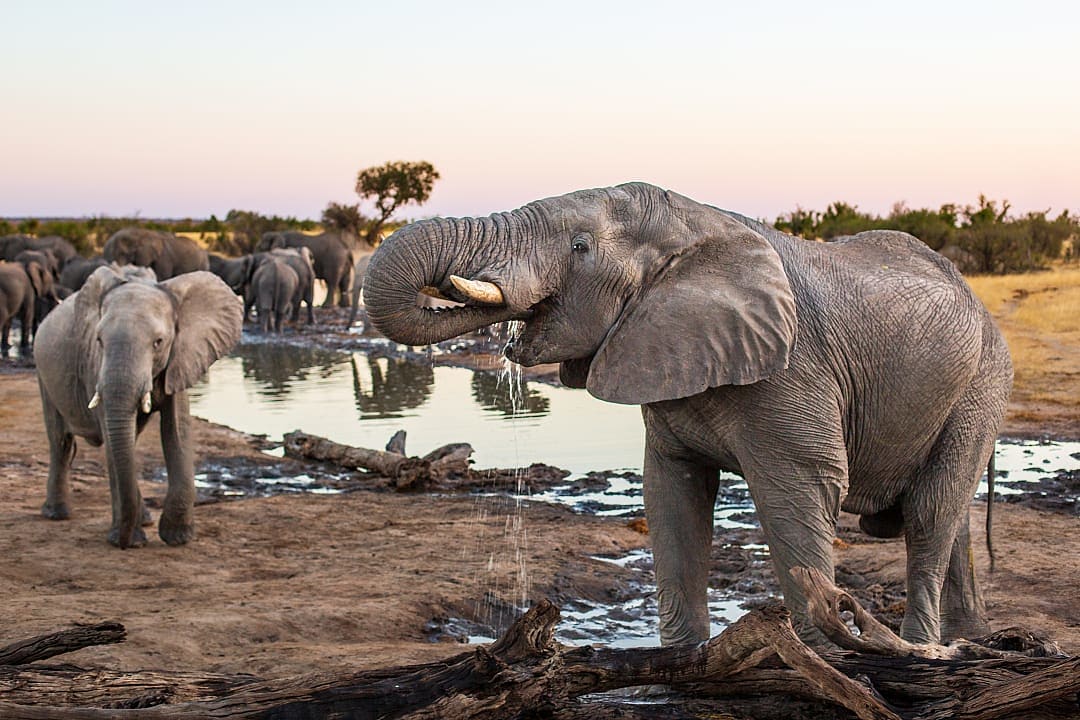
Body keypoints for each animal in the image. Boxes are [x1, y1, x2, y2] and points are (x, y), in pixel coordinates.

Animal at [34, 266, 242, 548]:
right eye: (98, 340)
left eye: (158, 342)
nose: (122, 545)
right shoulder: (95, 368)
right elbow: (114, 443)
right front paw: (131, 541)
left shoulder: (180, 358)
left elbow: (177, 431)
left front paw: (178, 538)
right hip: (43, 375)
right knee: (61, 442)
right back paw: (57, 514)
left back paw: (143, 520)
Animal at [363, 182, 1013, 646]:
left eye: (579, 246)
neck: (690, 223)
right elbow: (671, 494)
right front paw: (680, 660)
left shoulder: (793, 369)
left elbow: (799, 494)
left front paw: (823, 657)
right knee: (951, 520)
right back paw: (970, 639)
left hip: (980, 387)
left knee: (931, 515)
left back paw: (923, 651)